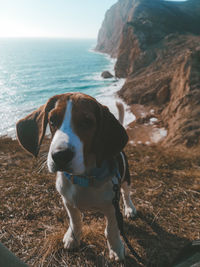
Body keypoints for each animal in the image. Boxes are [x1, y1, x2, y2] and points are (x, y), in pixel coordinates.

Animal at [16, 92, 137, 262]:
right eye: (52, 120)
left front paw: (116, 248)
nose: (60, 156)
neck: (84, 178)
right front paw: (73, 238)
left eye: (87, 122)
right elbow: (75, 220)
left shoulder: (112, 205)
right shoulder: (67, 200)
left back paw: (130, 208)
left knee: (126, 193)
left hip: (125, 178)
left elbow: (111, 229)